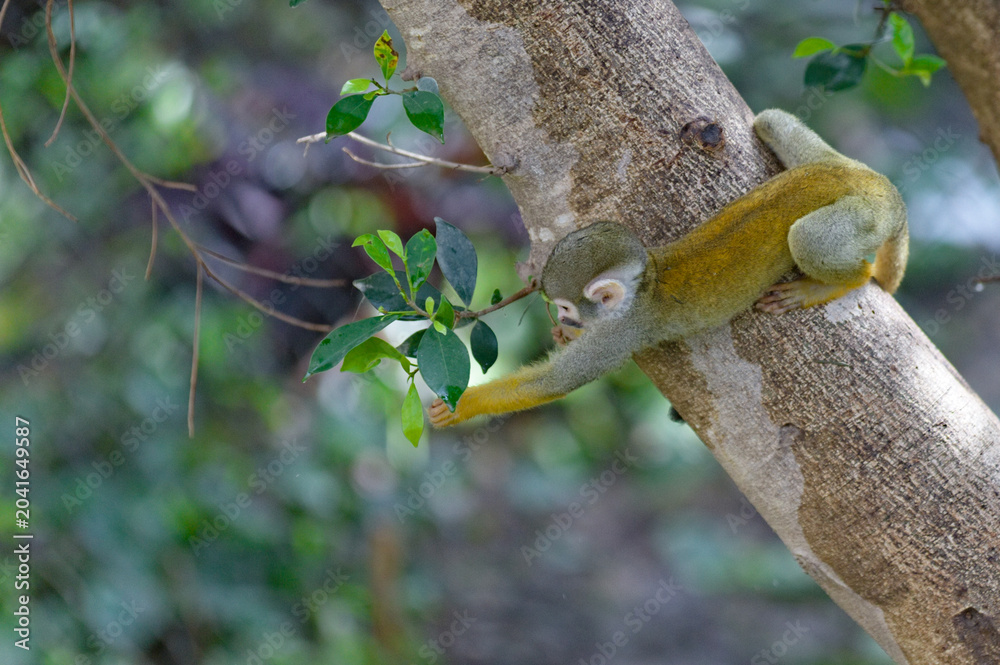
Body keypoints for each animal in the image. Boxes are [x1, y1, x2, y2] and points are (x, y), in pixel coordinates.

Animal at [427, 109, 908, 427]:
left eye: (565, 307)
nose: (567, 321)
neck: (647, 282)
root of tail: (877, 184)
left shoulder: (624, 332)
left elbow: (553, 383)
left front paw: (464, 405)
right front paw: (565, 337)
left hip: (863, 213)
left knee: (809, 240)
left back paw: (840, 282)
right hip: (831, 163)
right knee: (768, 120)